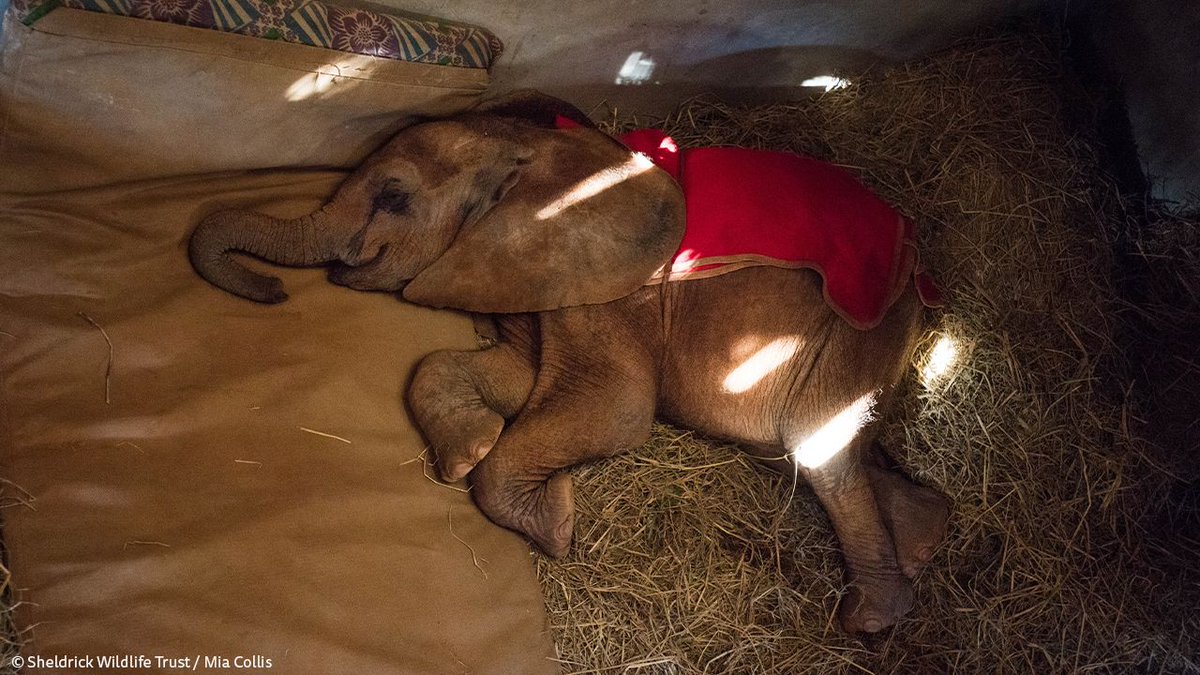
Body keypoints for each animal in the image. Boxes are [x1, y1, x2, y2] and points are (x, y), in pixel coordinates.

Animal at [188, 90, 950, 634]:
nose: (275, 290)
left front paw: (553, 527)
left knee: (816, 446)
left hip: (858, 328)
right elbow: (500, 376)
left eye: (394, 197)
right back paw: (922, 541)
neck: (536, 148)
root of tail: (917, 260)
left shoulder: (610, 290)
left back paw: (871, 617)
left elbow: (613, 407)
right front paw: (469, 450)